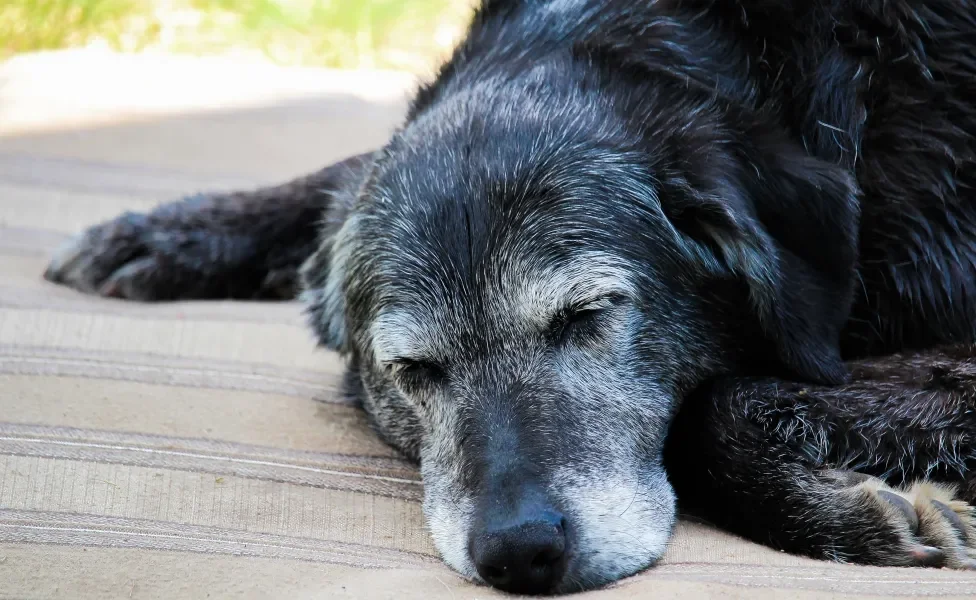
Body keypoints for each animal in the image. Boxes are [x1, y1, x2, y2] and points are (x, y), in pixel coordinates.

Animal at [40, 0, 976, 592]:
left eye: (588, 317)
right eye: (412, 370)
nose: (520, 553)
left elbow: (715, 410)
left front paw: (841, 514)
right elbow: (343, 169)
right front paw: (172, 232)